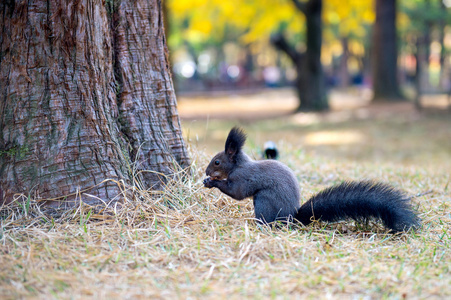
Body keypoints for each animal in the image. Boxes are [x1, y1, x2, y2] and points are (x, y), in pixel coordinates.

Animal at [203, 126, 422, 232]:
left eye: (216, 162)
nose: (206, 172)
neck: (239, 164)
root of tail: (292, 218)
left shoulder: (243, 178)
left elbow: (236, 192)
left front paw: (213, 183)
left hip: (264, 203)